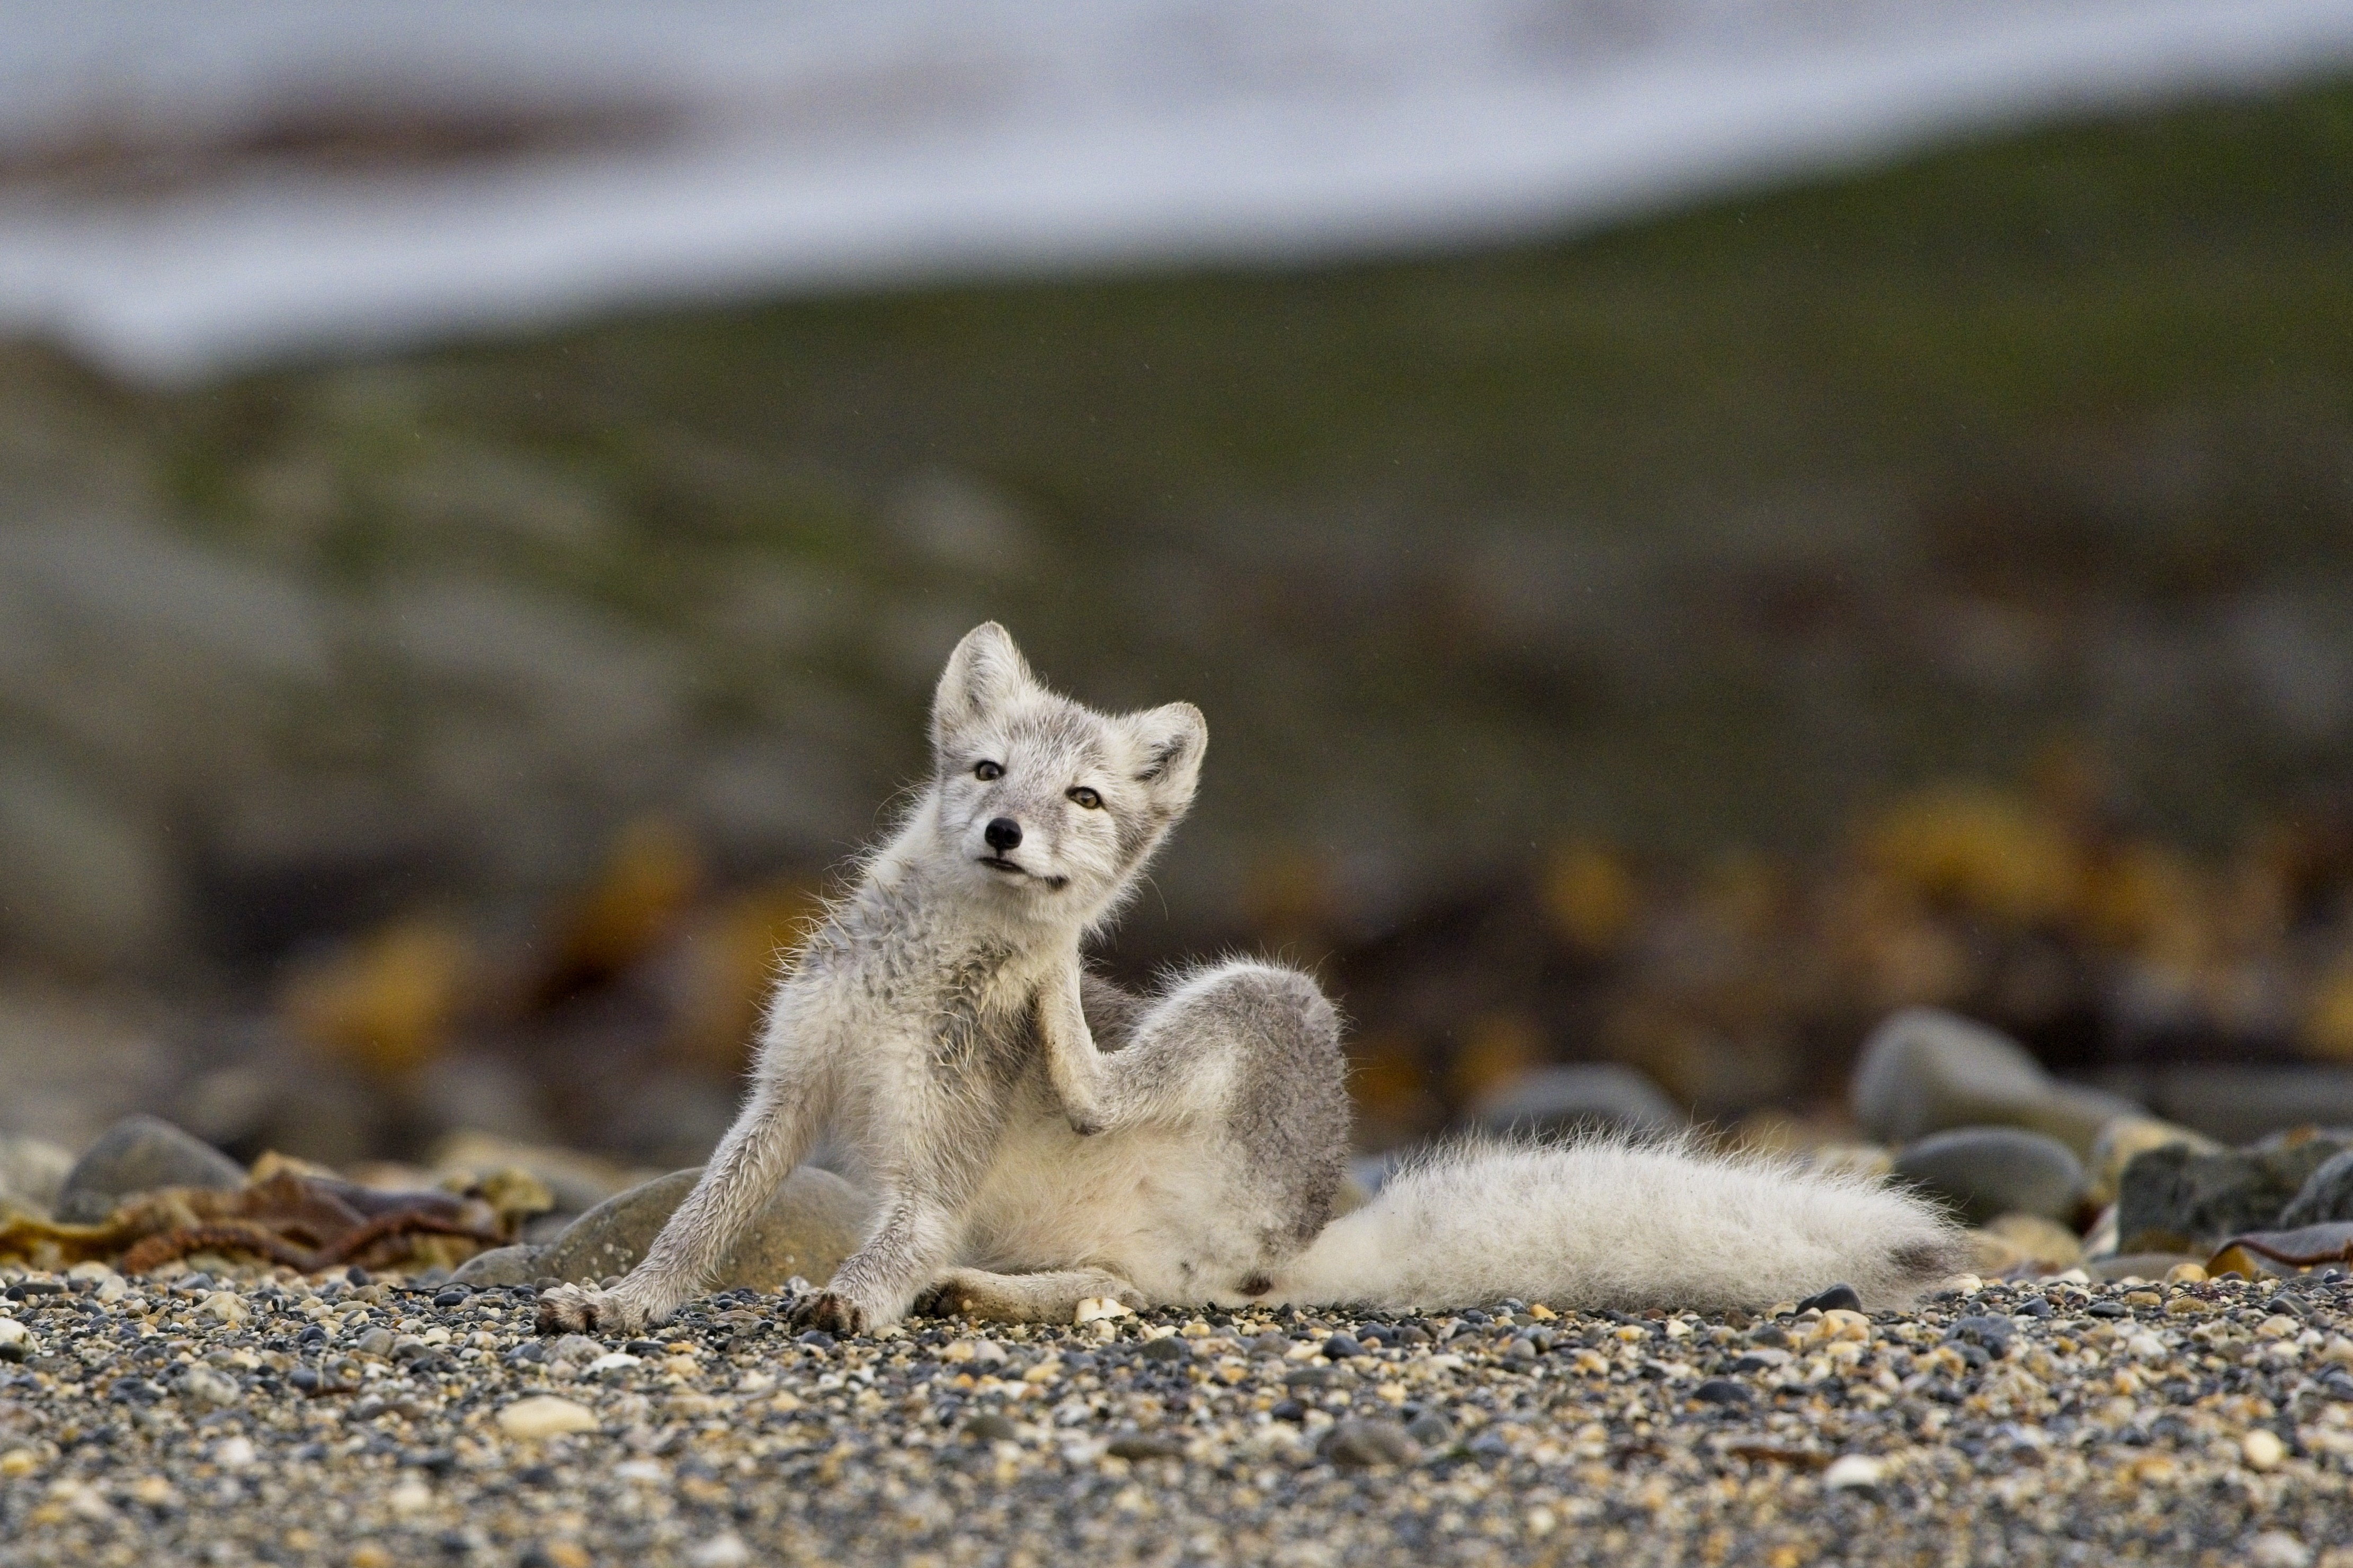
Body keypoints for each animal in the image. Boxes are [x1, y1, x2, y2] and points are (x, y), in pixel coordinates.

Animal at [541, 621, 1957, 1328]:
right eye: (989, 771)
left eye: (1083, 796)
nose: (1004, 834)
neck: (916, 976)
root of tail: (1308, 1234)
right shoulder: (783, 1094)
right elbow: (699, 1215)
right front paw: (625, 1298)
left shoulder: (934, 1160)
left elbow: (894, 1237)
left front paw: (855, 1300)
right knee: (1126, 1290)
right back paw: (984, 1288)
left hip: (1276, 996)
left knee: (1124, 1155)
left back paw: (1057, 1006)